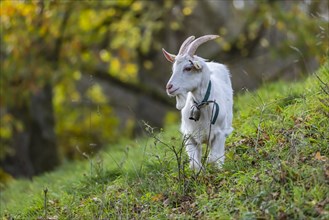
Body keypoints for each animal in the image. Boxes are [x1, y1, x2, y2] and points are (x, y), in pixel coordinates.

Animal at [161, 34, 233, 170]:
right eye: (174, 68)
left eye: (188, 68)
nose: (169, 87)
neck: (201, 106)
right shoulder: (189, 137)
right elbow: (195, 164)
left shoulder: (219, 134)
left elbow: (215, 158)